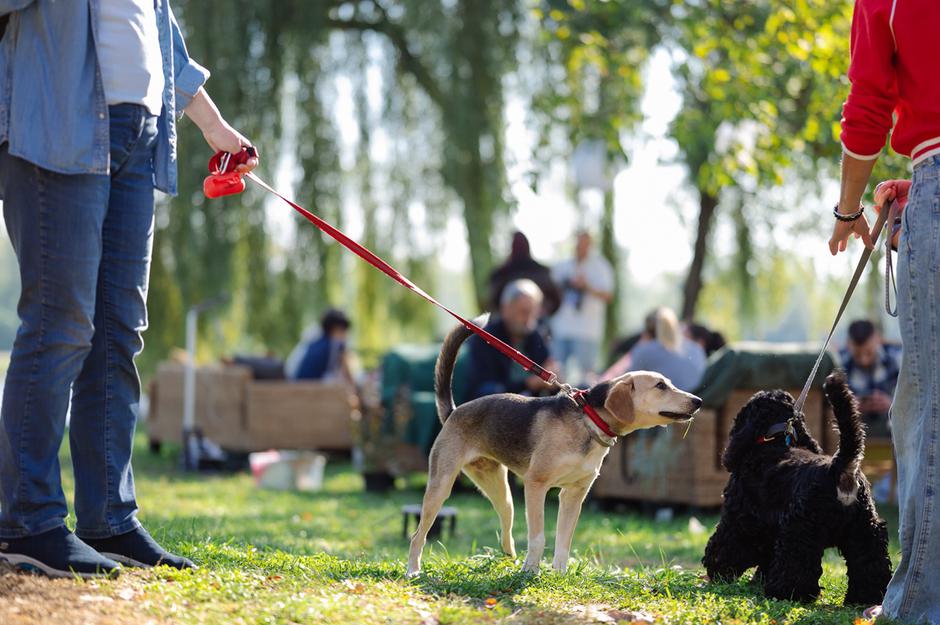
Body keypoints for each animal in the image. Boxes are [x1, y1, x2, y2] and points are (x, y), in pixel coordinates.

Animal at [408, 320, 700, 576]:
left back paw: (509, 559)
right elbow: (538, 538)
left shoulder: (574, 494)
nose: (698, 400)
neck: (588, 422)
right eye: (660, 386)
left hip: (503, 494)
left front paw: (559, 574)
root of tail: (454, 412)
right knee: (417, 535)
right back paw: (413, 570)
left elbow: (563, 541)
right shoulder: (536, 485)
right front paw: (531, 572)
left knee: (506, 530)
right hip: (441, 487)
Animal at [700, 372, 892, 604]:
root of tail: (840, 468)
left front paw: (718, 569)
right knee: (870, 565)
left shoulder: (738, 518)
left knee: (796, 565)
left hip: (799, 531)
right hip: (864, 530)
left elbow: (724, 544)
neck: (773, 443)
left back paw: (785, 592)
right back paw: (866, 597)